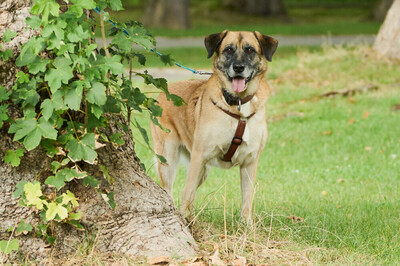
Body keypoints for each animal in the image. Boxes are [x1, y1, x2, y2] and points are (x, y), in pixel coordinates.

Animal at [150, 30, 278, 220]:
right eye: (228, 50)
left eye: (250, 50)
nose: (238, 68)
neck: (238, 103)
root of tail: (165, 91)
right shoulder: (199, 156)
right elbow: (189, 195)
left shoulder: (250, 162)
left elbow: (247, 199)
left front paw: (246, 225)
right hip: (169, 159)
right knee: (171, 190)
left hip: (203, 170)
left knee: (183, 190)